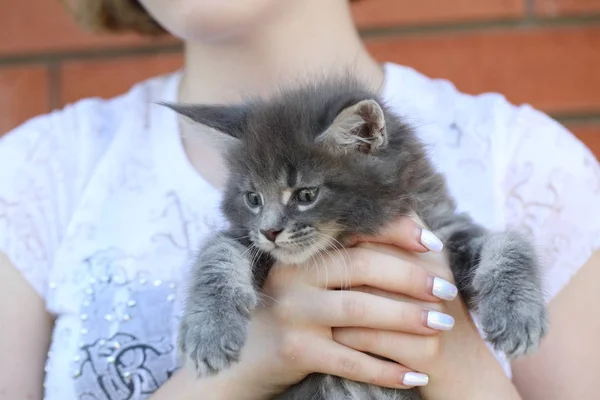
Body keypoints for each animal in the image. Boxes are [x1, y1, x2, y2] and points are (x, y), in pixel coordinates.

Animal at [162, 76, 548, 400]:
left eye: (306, 195)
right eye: (253, 199)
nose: (270, 232)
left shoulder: (444, 228)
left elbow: (510, 244)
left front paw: (518, 313)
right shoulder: (247, 240)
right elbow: (216, 253)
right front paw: (208, 332)